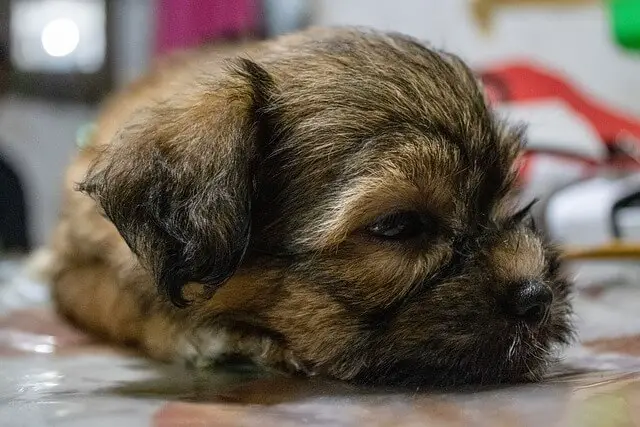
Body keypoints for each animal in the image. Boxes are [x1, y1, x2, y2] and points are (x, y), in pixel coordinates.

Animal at [47, 27, 572, 388]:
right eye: (398, 225)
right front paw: (203, 335)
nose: (537, 297)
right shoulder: (73, 272)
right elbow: (126, 302)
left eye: (502, 199)